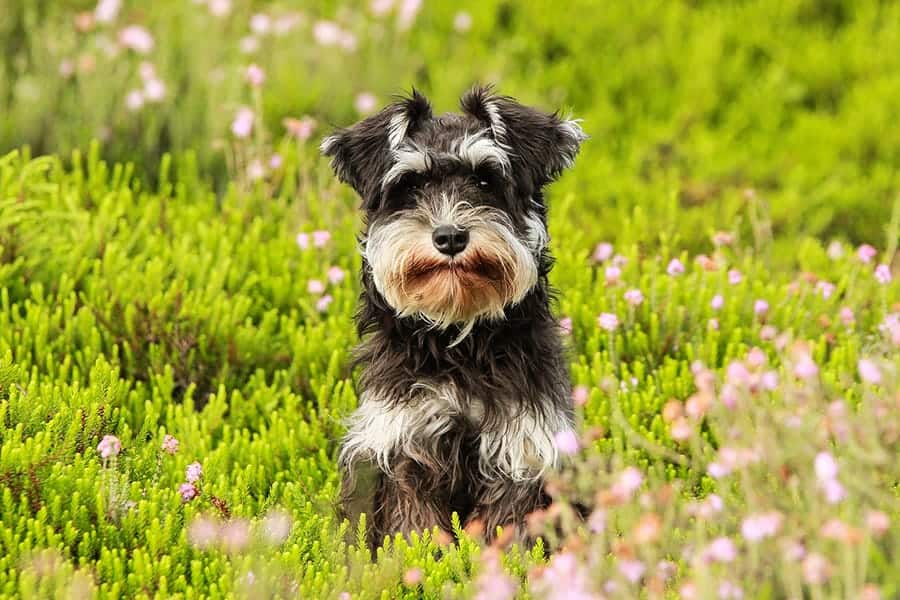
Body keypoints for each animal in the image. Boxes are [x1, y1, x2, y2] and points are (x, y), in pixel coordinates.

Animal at [320, 85, 588, 552]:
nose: (449, 236)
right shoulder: (404, 448)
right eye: (410, 185)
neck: (460, 339)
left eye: (485, 180)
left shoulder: (520, 452)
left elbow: (507, 530)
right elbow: (413, 529)